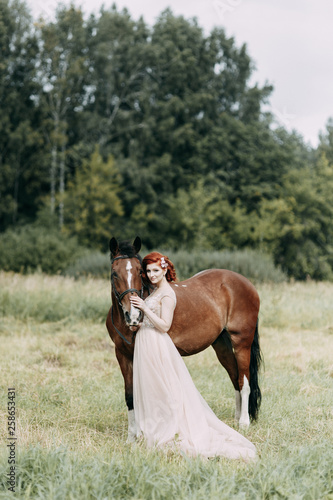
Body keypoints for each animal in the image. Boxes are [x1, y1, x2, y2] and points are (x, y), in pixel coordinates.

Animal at [106, 236, 262, 440]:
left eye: (140, 271)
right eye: (114, 273)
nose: (133, 315)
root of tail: (247, 284)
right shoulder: (122, 355)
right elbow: (130, 395)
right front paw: (132, 437)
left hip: (242, 343)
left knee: (244, 381)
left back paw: (244, 423)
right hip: (222, 345)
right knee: (235, 377)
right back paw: (235, 421)